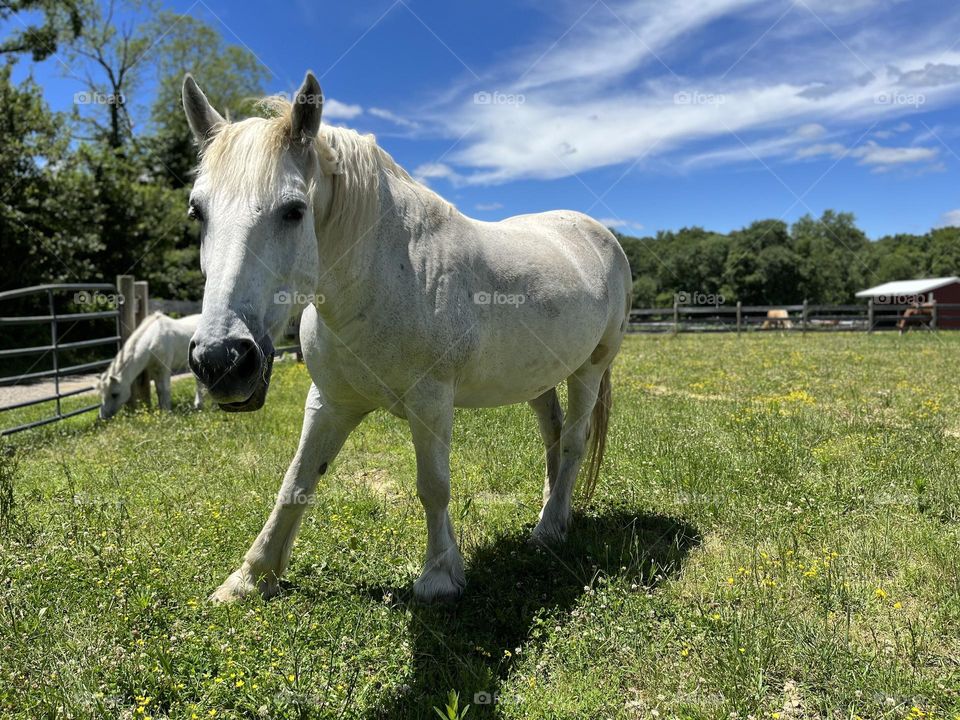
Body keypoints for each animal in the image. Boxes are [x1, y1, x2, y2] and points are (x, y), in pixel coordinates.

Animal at [181, 71, 633, 604]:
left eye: (293, 210)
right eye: (197, 212)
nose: (222, 361)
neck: (385, 275)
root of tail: (599, 233)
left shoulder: (431, 401)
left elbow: (433, 486)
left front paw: (439, 576)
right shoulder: (330, 402)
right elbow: (296, 482)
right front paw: (250, 577)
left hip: (589, 369)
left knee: (574, 443)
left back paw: (550, 529)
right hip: (539, 378)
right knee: (554, 436)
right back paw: (548, 512)